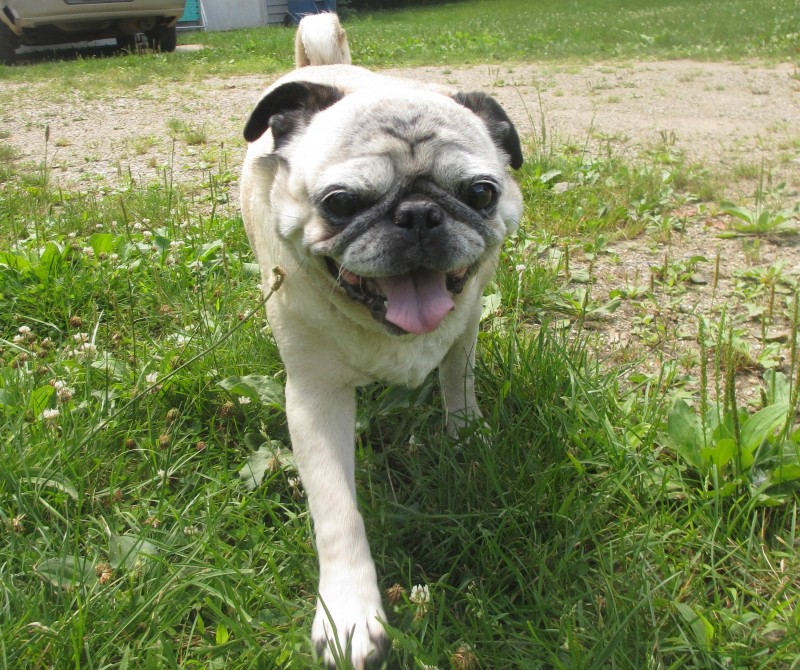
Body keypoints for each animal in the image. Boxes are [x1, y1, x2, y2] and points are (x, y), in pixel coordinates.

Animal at [238, 13, 524, 668]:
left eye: (481, 193)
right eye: (340, 203)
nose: (418, 213)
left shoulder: (466, 327)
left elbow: (458, 384)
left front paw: (466, 436)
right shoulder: (313, 399)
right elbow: (336, 511)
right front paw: (349, 610)